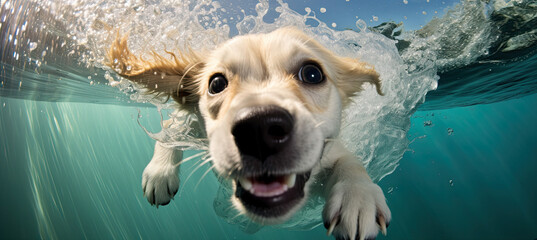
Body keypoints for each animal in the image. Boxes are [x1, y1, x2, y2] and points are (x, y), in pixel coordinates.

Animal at [109, 27, 392, 240]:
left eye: (313, 73)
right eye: (216, 83)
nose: (260, 129)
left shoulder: (332, 151)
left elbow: (350, 162)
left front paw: (358, 195)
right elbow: (169, 132)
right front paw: (160, 172)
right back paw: (160, 173)